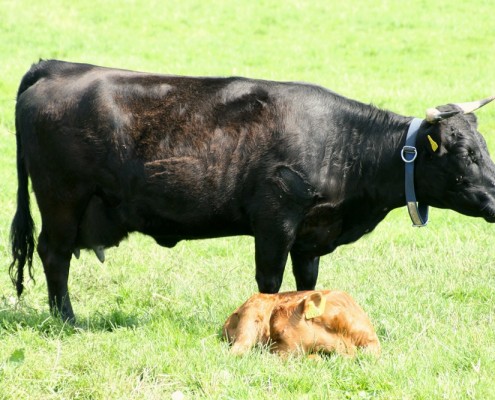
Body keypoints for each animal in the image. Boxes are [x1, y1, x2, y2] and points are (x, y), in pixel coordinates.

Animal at [7, 60, 495, 322]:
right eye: (465, 153)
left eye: (483, 147)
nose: (494, 197)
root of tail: (56, 66)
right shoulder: (275, 220)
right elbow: (270, 281)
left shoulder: (310, 235)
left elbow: (307, 283)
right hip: (62, 199)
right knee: (54, 255)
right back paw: (67, 318)